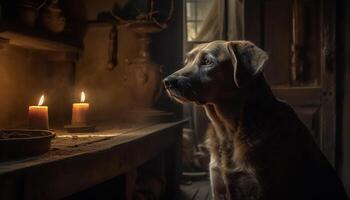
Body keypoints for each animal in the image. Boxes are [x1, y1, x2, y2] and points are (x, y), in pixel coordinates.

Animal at [163, 39, 348, 199]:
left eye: (207, 61)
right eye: (186, 61)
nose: (167, 82)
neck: (230, 130)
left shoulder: (259, 188)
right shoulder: (219, 187)